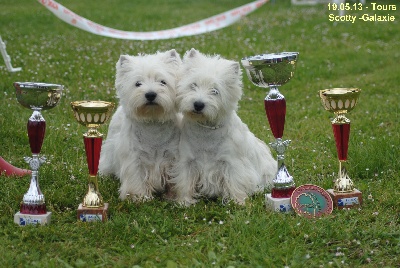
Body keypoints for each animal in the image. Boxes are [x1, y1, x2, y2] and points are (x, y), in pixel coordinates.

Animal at [99, 49, 182, 201]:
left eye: (163, 82)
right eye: (138, 84)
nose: (150, 94)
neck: (153, 124)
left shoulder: (173, 156)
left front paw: (172, 195)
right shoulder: (134, 157)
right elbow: (135, 177)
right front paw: (137, 197)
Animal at [170, 48, 276, 205]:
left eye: (215, 91)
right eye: (193, 85)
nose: (198, 104)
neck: (205, 131)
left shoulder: (232, 162)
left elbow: (235, 181)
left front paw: (238, 202)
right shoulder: (186, 161)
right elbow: (185, 182)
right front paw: (184, 202)